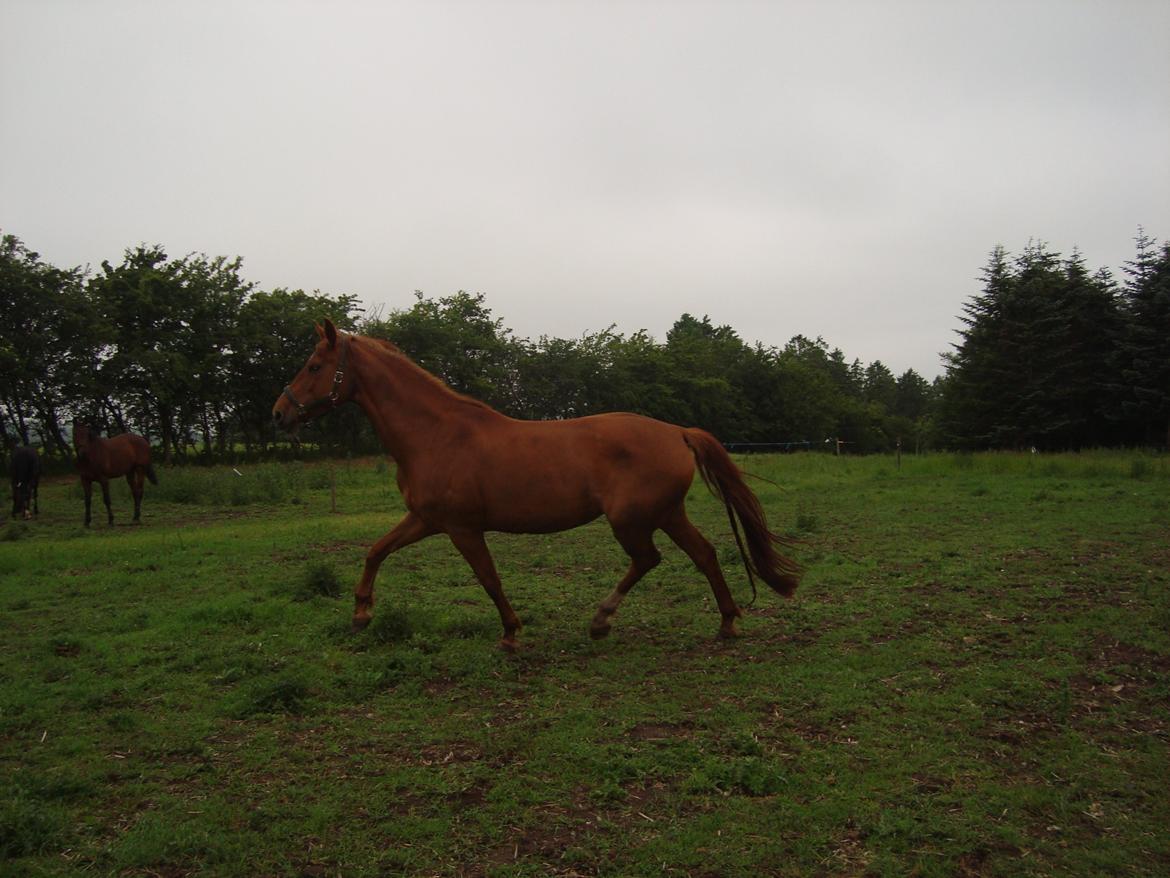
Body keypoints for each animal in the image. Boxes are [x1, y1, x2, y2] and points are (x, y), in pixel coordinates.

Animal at [270, 323, 800, 655]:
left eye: (314, 365)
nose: (280, 412)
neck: (436, 434)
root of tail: (677, 432)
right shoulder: (425, 520)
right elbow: (375, 551)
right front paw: (361, 614)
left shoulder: (462, 529)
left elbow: (489, 579)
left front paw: (510, 634)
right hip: (667, 513)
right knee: (704, 554)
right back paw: (726, 622)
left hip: (632, 520)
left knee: (650, 560)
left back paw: (601, 620)